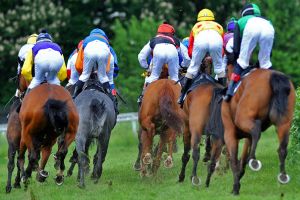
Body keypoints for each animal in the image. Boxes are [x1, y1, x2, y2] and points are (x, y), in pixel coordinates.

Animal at [223, 65, 296, 195]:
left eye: (226, 70)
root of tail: (274, 76)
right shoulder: (247, 137)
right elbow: (242, 158)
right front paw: (238, 180)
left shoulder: (229, 132)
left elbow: (234, 159)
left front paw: (235, 187)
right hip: (284, 123)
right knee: (282, 149)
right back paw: (282, 176)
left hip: (243, 118)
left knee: (256, 129)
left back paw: (253, 161)